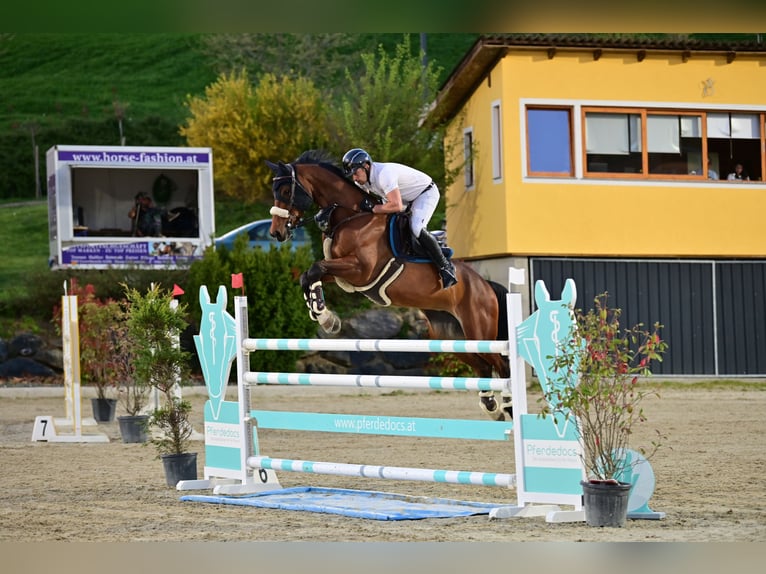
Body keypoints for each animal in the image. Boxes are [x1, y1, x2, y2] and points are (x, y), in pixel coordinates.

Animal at [268, 151, 512, 420]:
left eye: (285, 190)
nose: (276, 233)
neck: (351, 216)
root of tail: (485, 284)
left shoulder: (361, 270)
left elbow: (315, 269)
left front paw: (326, 318)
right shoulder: (343, 273)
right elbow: (309, 274)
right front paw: (324, 315)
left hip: (479, 330)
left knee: (502, 364)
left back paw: (508, 406)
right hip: (454, 338)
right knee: (484, 367)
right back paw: (492, 407)